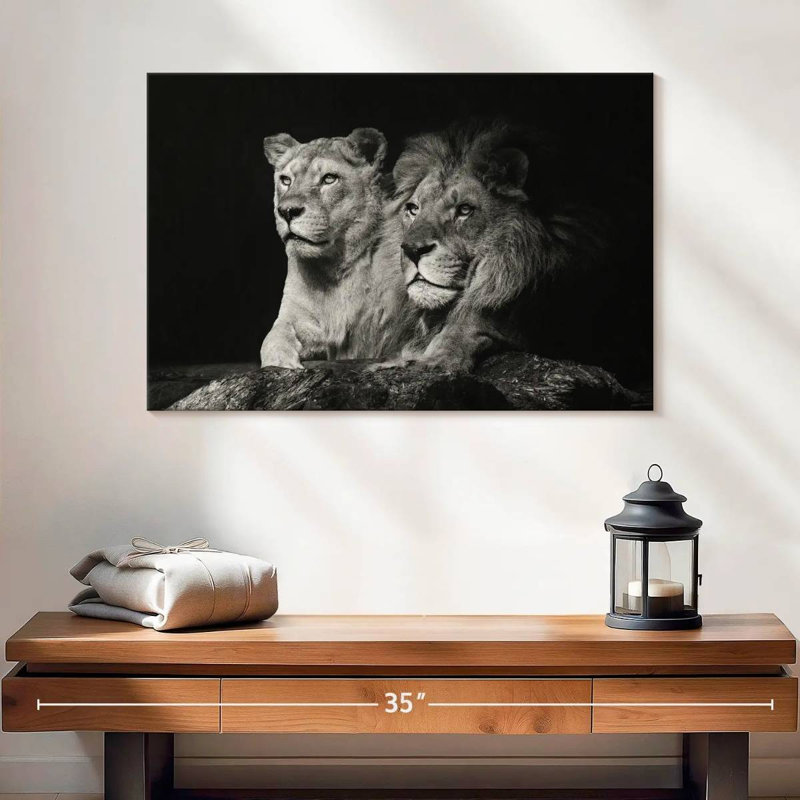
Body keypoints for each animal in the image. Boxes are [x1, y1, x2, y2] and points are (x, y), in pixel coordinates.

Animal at [260, 128, 413, 368]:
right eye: (285, 180)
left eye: (329, 179)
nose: (286, 211)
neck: (335, 268)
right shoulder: (296, 315)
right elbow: (273, 336)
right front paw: (281, 362)